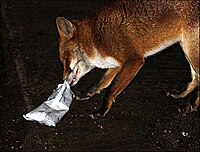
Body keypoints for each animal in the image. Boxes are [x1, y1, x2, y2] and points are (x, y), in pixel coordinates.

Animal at [55, 0, 199, 117]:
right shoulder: (116, 64)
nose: (63, 81)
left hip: (190, 50)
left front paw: (102, 110)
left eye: (66, 59)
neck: (97, 38)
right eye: (62, 61)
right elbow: (100, 82)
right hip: (185, 48)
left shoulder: (133, 61)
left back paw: (191, 106)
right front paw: (88, 94)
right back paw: (181, 94)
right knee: (195, 78)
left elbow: (111, 90)